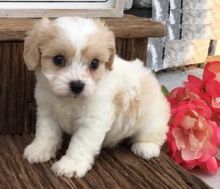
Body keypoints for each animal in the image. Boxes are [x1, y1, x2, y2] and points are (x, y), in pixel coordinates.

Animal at [22, 17, 170, 178]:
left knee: (154, 134)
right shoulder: (47, 112)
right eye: (58, 59)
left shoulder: (93, 120)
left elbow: (80, 143)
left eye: (94, 63)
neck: (69, 100)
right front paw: (39, 149)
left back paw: (146, 147)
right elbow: (46, 133)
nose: (77, 85)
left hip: (152, 120)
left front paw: (71, 164)